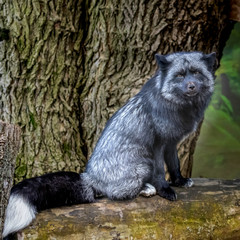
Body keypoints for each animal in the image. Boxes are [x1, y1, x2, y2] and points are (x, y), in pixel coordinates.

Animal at [2, 51, 216, 238]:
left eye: (196, 72)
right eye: (179, 75)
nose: (191, 86)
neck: (179, 108)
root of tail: (89, 176)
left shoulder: (171, 142)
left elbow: (174, 165)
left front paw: (180, 181)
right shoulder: (157, 144)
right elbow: (160, 173)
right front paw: (166, 191)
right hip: (141, 164)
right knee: (112, 194)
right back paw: (146, 189)